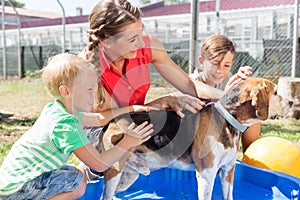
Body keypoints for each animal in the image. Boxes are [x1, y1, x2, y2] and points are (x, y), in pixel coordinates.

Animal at [94, 77, 292, 200]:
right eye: (275, 92)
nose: (291, 102)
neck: (228, 120)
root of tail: (110, 122)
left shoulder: (228, 171)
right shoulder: (206, 173)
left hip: (129, 176)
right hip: (115, 172)